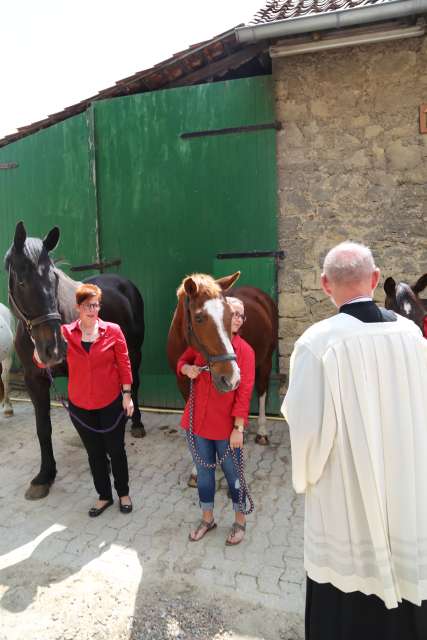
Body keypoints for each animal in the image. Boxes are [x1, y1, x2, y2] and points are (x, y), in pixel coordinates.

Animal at [5, 224, 145, 500]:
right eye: (22, 282)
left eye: (54, 280)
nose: (53, 348)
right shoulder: (34, 380)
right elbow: (43, 428)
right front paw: (44, 476)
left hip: (134, 351)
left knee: (133, 384)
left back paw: (136, 424)